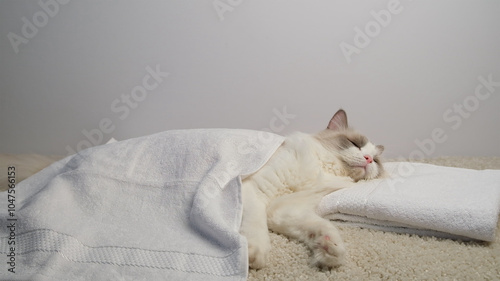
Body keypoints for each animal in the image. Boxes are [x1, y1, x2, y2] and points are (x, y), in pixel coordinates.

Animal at [240, 108, 384, 268]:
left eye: (376, 161)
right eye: (355, 144)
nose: (368, 159)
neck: (321, 170)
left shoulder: (285, 210)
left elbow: (323, 226)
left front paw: (330, 248)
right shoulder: (254, 190)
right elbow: (255, 224)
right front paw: (253, 254)